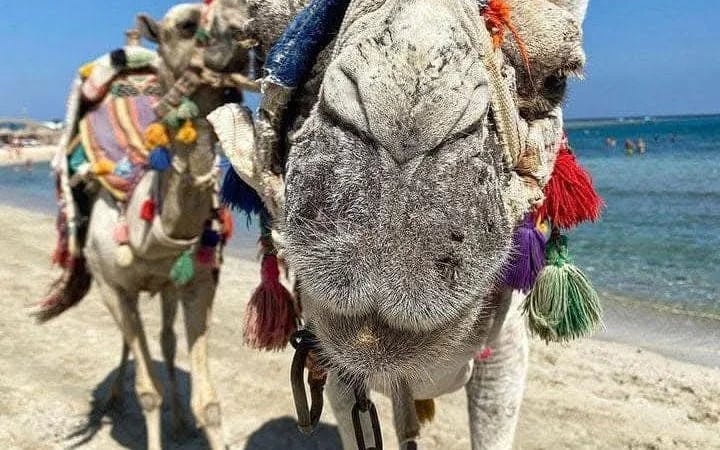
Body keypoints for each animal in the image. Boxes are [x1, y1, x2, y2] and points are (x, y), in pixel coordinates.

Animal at [37, 4, 253, 449]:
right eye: (186, 25)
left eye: (244, 10)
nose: (245, 35)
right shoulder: (116, 286)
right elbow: (148, 393)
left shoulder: (198, 283)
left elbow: (209, 403)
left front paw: (193, 419)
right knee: (128, 338)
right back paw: (114, 398)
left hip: (167, 285)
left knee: (167, 342)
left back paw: (180, 421)